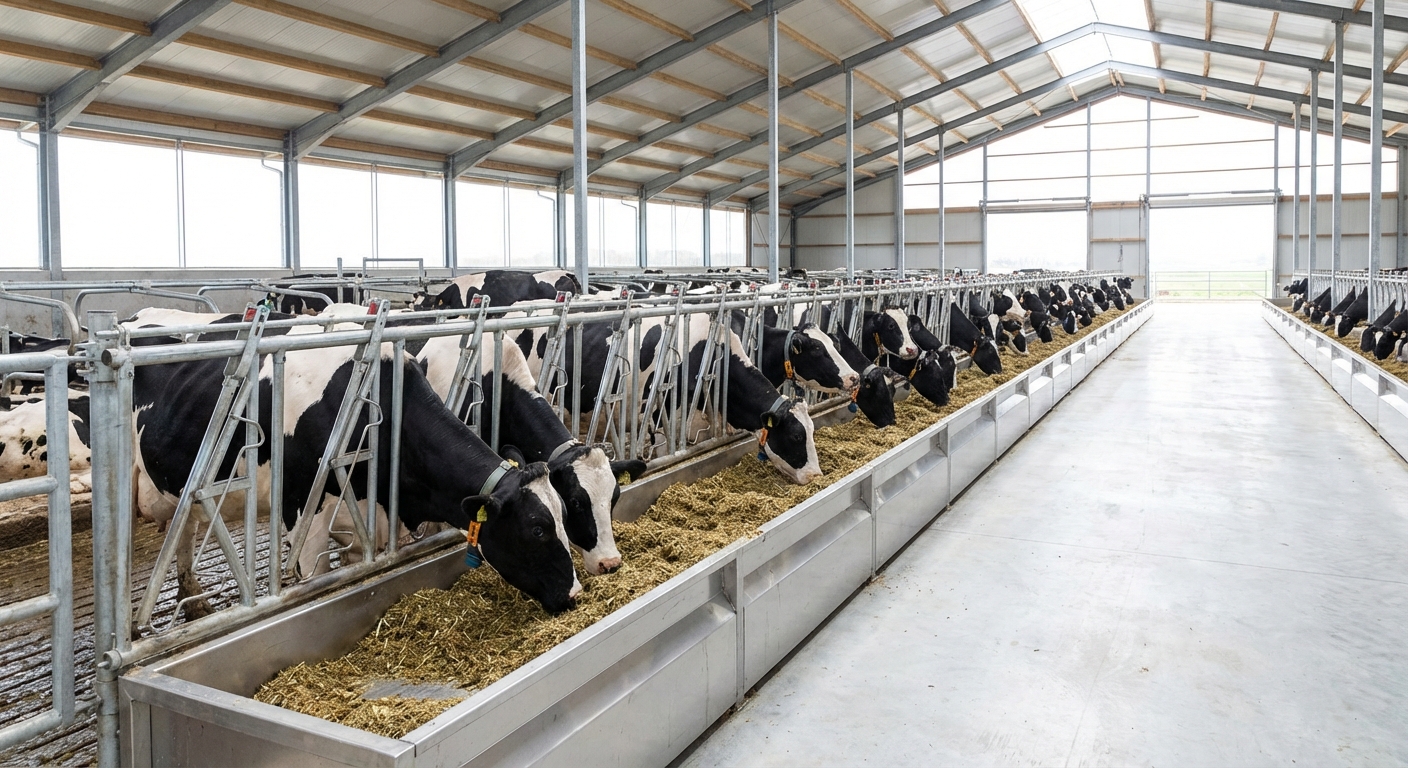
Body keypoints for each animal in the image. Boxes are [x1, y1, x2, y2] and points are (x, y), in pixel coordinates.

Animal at [127, 312, 581, 615]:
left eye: (564, 514)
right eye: (538, 529)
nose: (575, 594)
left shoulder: (365, 521)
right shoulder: (305, 521)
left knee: (184, 531)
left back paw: (192, 600)